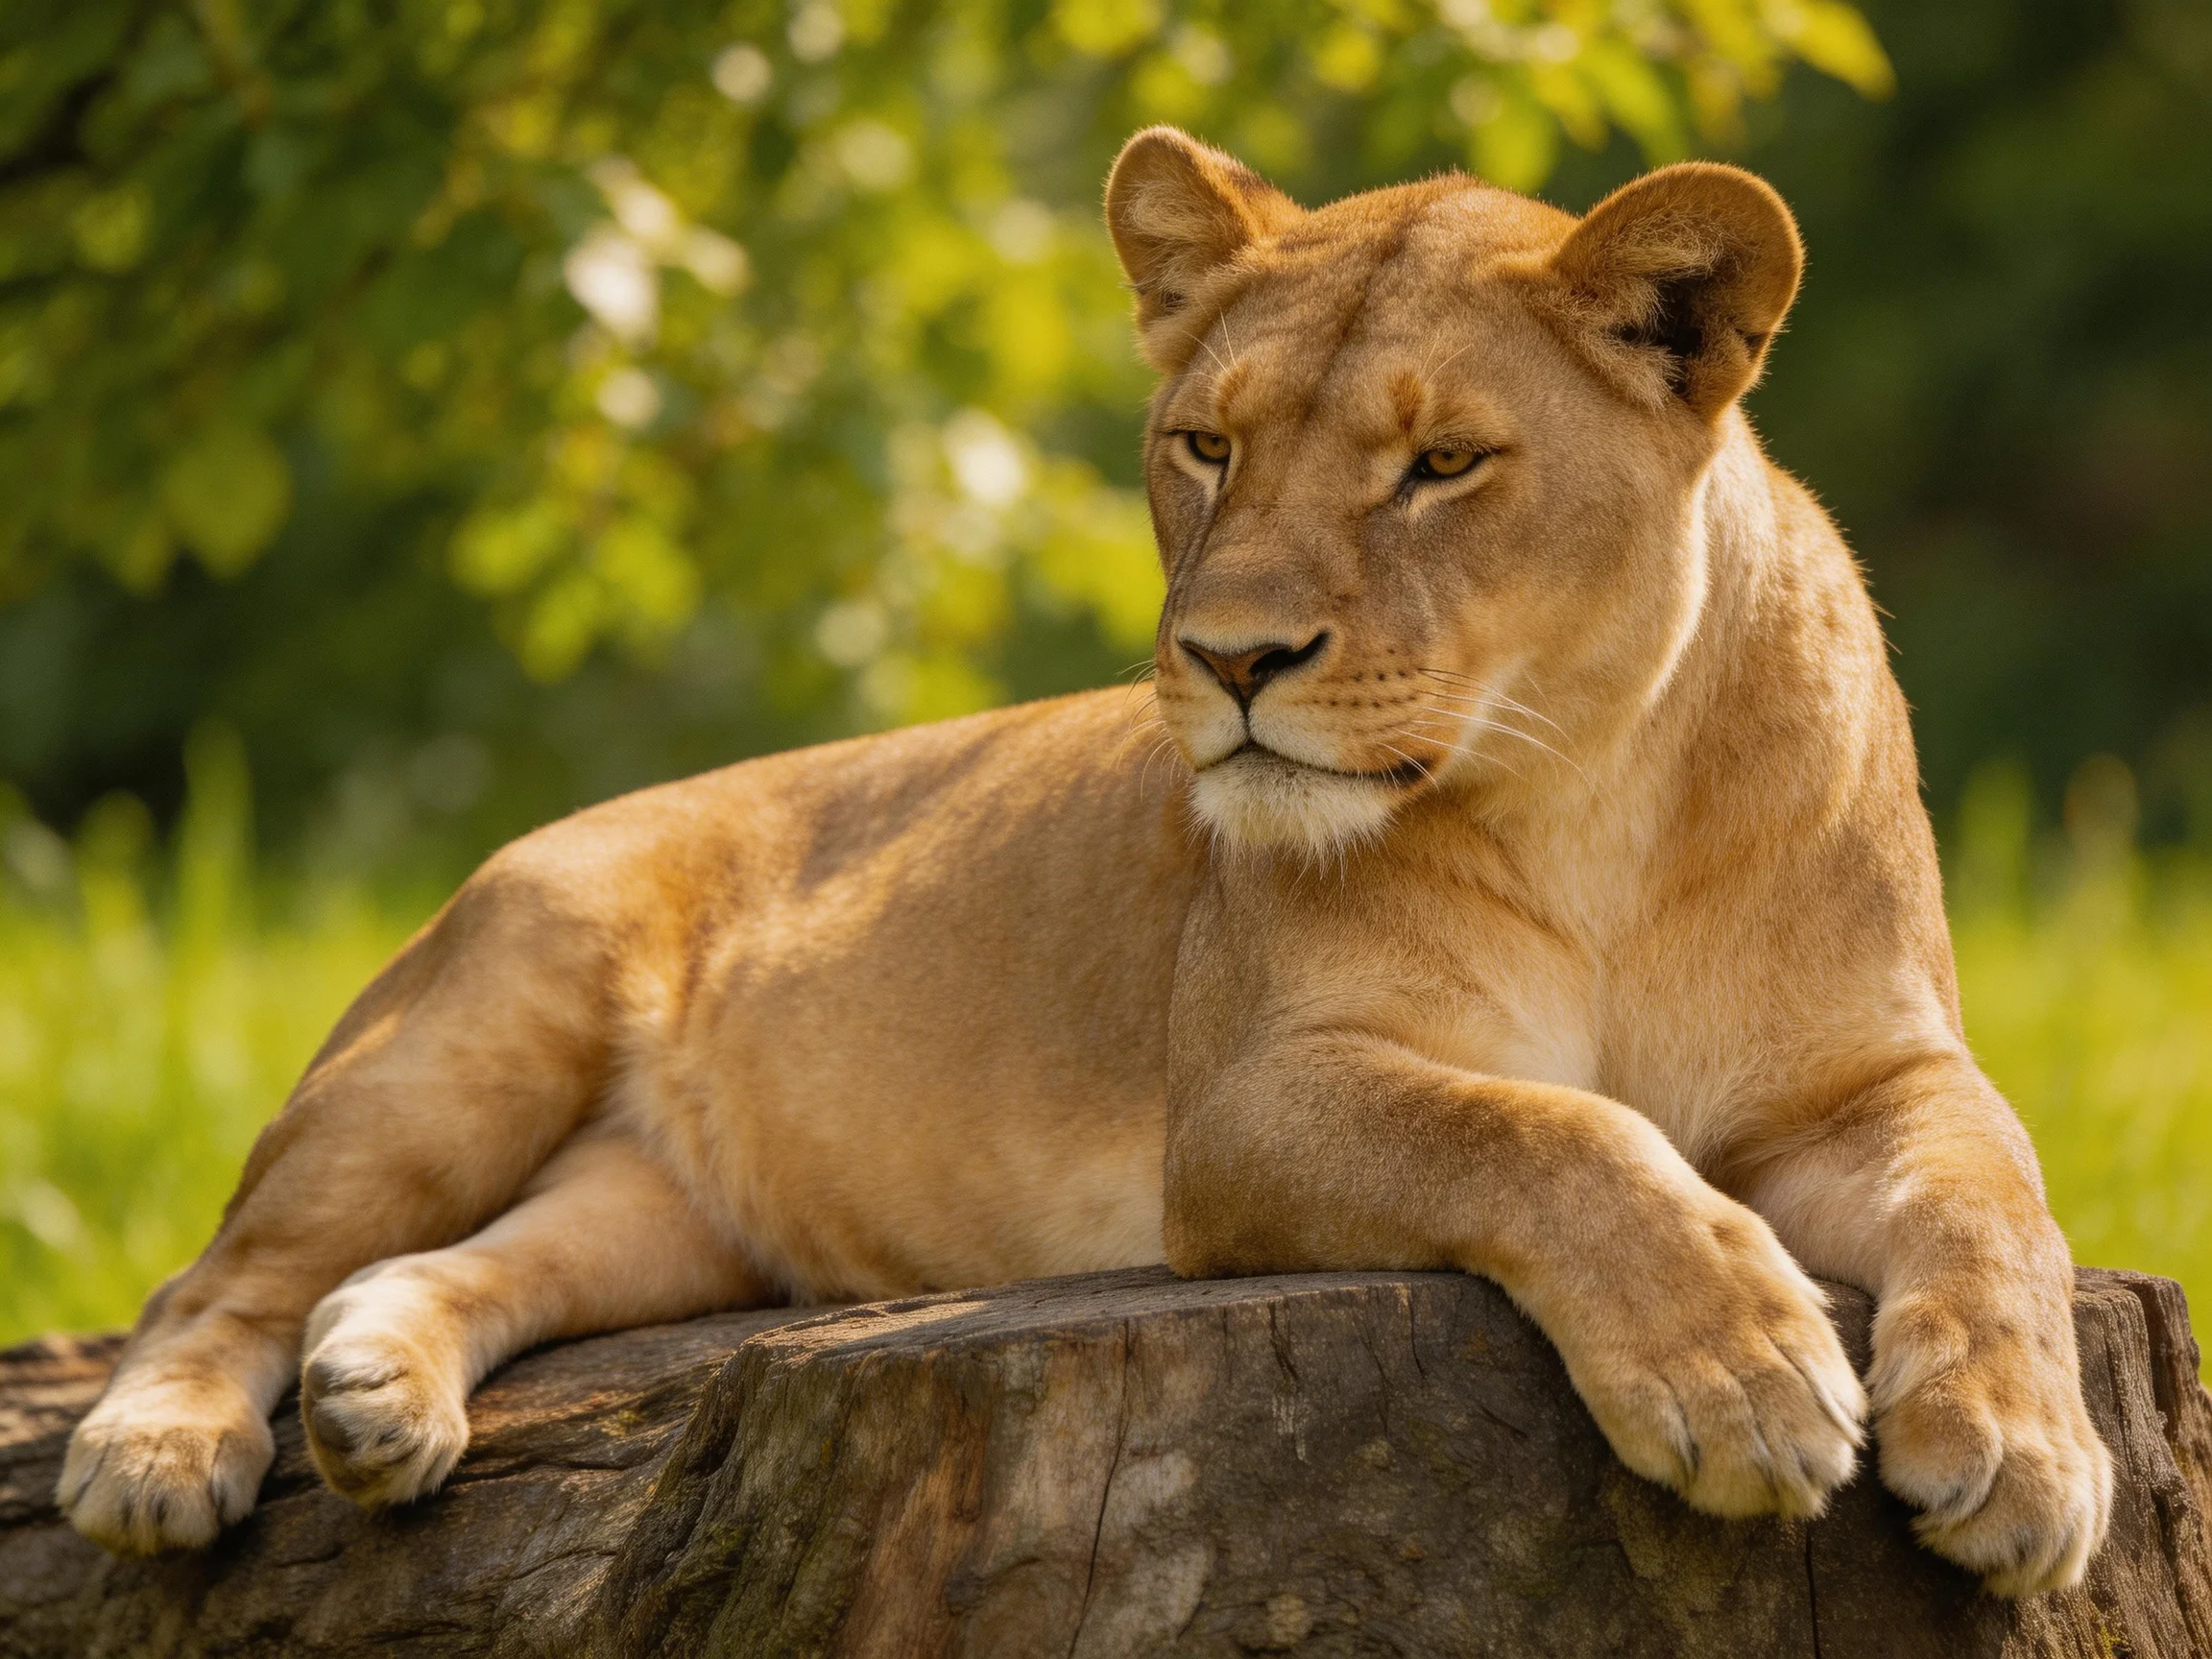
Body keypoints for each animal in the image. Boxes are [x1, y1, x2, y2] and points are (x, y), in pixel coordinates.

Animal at [59, 128, 2111, 1595]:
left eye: (1440, 464)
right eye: (1201, 444)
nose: (1232, 657)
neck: (1583, 791)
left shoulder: (1866, 1072)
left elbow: (1993, 1191)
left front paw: (2025, 1453)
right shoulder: (1247, 1106)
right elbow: (1546, 1130)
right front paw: (1735, 1372)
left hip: (668, 1220)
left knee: (462, 1262)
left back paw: (374, 1391)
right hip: (469, 1029)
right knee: (215, 1281)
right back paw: (158, 1454)